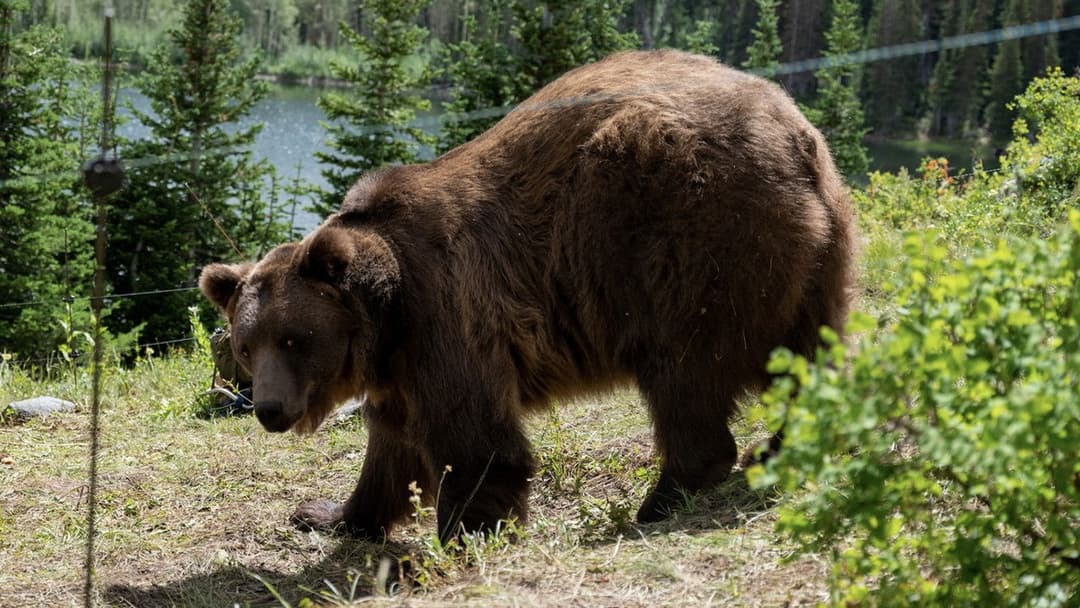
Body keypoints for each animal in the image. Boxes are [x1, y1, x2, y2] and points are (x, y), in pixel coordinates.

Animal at [199, 49, 858, 542]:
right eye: (247, 344)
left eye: (295, 338)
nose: (269, 409)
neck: (384, 319)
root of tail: (794, 131)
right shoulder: (399, 365)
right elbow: (390, 449)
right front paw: (331, 513)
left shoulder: (447, 317)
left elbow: (478, 446)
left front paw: (466, 534)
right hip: (812, 261)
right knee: (806, 358)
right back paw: (782, 448)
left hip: (690, 236)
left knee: (684, 370)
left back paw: (661, 500)